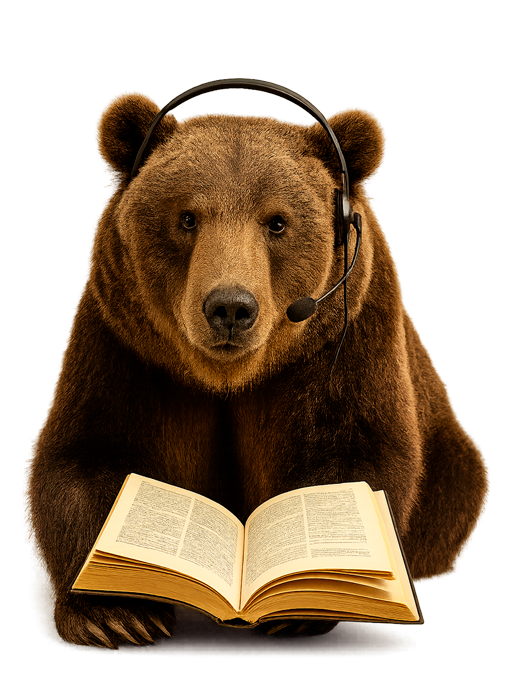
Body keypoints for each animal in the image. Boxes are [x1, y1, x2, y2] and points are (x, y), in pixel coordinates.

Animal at [30, 92, 486, 647]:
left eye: (277, 222)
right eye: (187, 217)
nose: (230, 307)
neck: (229, 379)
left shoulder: (343, 343)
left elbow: (355, 458)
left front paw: (304, 602)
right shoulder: (124, 345)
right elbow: (89, 459)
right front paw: (115, 612)